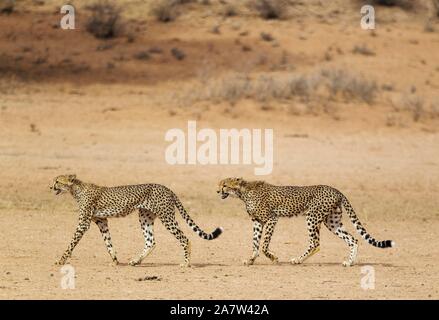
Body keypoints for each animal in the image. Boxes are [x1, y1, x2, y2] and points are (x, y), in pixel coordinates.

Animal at [51, 174, 223, 266]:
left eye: (58, 181)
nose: (50, 187)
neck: (75, 189)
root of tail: (167, 188)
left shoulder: (83, 224)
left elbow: (71, 244)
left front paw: (60, 261)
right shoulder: (102, 221)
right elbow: (108, 242)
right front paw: (115, 260)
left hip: (166, 217)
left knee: (185, 239)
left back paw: (186, 263)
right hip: (145, 217)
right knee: (151, 241)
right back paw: (136, 261)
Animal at [219, 179, 396, 266]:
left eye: (224, 185)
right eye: (220, 184)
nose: (217, 190)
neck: (243, 192)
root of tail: (336, 189)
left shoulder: (271, 218)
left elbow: (263, 245)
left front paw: (274, 258)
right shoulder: (257, 221)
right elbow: (255, 243)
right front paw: (250, 260)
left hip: (312, 217)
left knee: (315, 243)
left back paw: (298, 260)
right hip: (332, 222)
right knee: (353, 239)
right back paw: (349, 262)